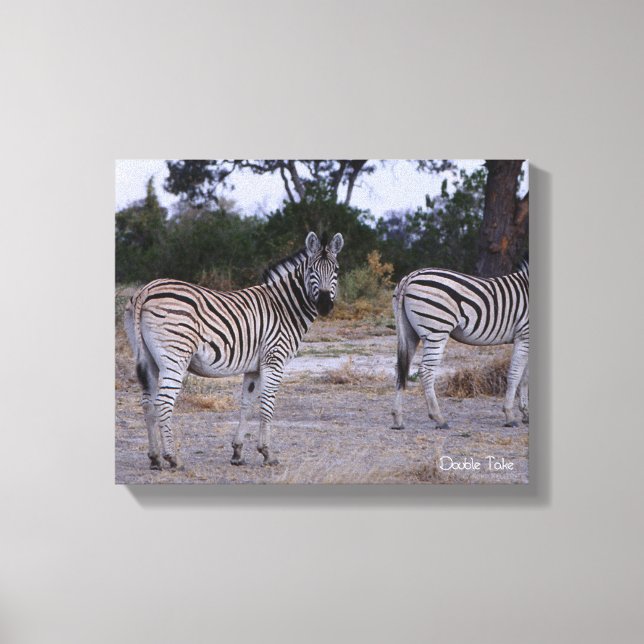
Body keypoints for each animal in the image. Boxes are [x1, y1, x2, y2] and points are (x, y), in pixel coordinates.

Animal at [124, 231, 344, 470]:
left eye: (336, 270)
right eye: (312, 270)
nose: (324, 305)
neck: (285, 307)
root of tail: (146, 289)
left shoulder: (254, 367)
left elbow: (247, 404)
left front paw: (238, 452)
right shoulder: (274, 359)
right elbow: (267, 404)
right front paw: (267, 453)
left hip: (148, 359)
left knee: (147, 403)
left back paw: (155, 457)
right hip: (175, 357)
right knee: (163, 402)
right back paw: (173, 458)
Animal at [391, 261, 529, 430]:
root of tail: (410, 276)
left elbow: (525, 377)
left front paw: (526, 414)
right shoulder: (524, 335)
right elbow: (516, 374)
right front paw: (510, 415)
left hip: (408, 332)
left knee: (400, 368)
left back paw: (398, 419)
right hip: (437, 331)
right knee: (426, 370)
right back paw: (439, 418)